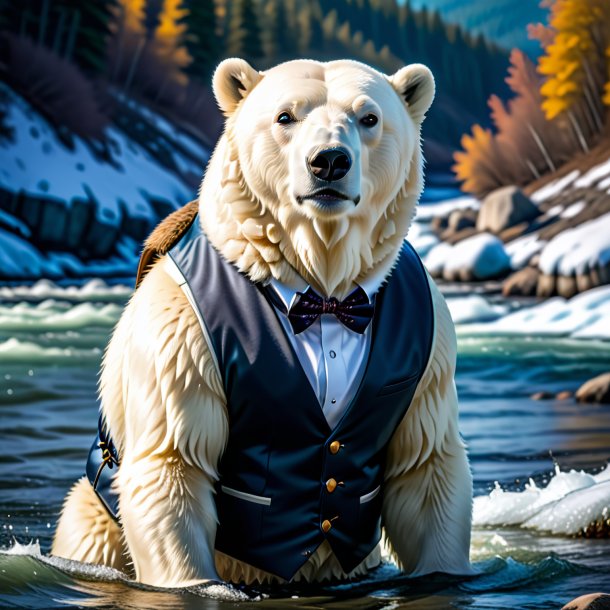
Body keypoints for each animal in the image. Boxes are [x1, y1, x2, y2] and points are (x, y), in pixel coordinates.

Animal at [51, 57, 470, 588]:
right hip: (98, 520)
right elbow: (174, 465)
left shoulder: (427, 334)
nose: (328, 161)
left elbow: (426, 465)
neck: (320, 287)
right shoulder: (182, 335)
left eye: (369, 117)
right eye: (285, 116)